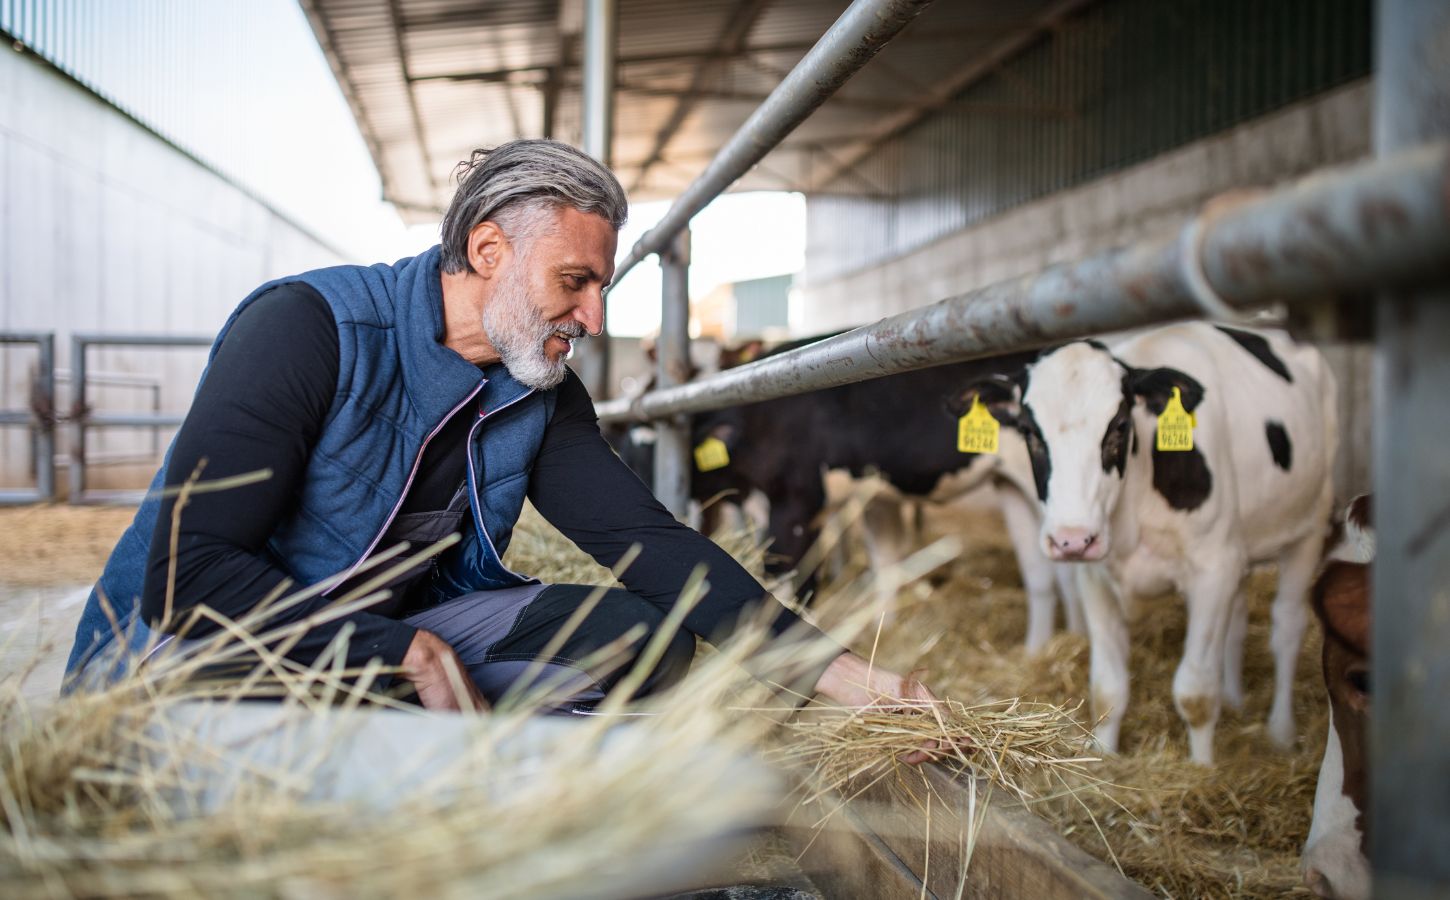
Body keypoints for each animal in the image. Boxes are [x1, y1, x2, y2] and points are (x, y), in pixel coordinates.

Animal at [968, 323, 1339, 765]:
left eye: (1119, 426)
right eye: (1028, 431)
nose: (1071, 539)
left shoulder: (1213, 570)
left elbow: (1195, 691)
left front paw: (1202, 770)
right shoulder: (1096, 578)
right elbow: (1107, 687)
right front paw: (1104, 758)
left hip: (1311, 525)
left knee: (1286, 626)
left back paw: (1281, 732)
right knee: (1237, 618)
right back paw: (1235, 699)